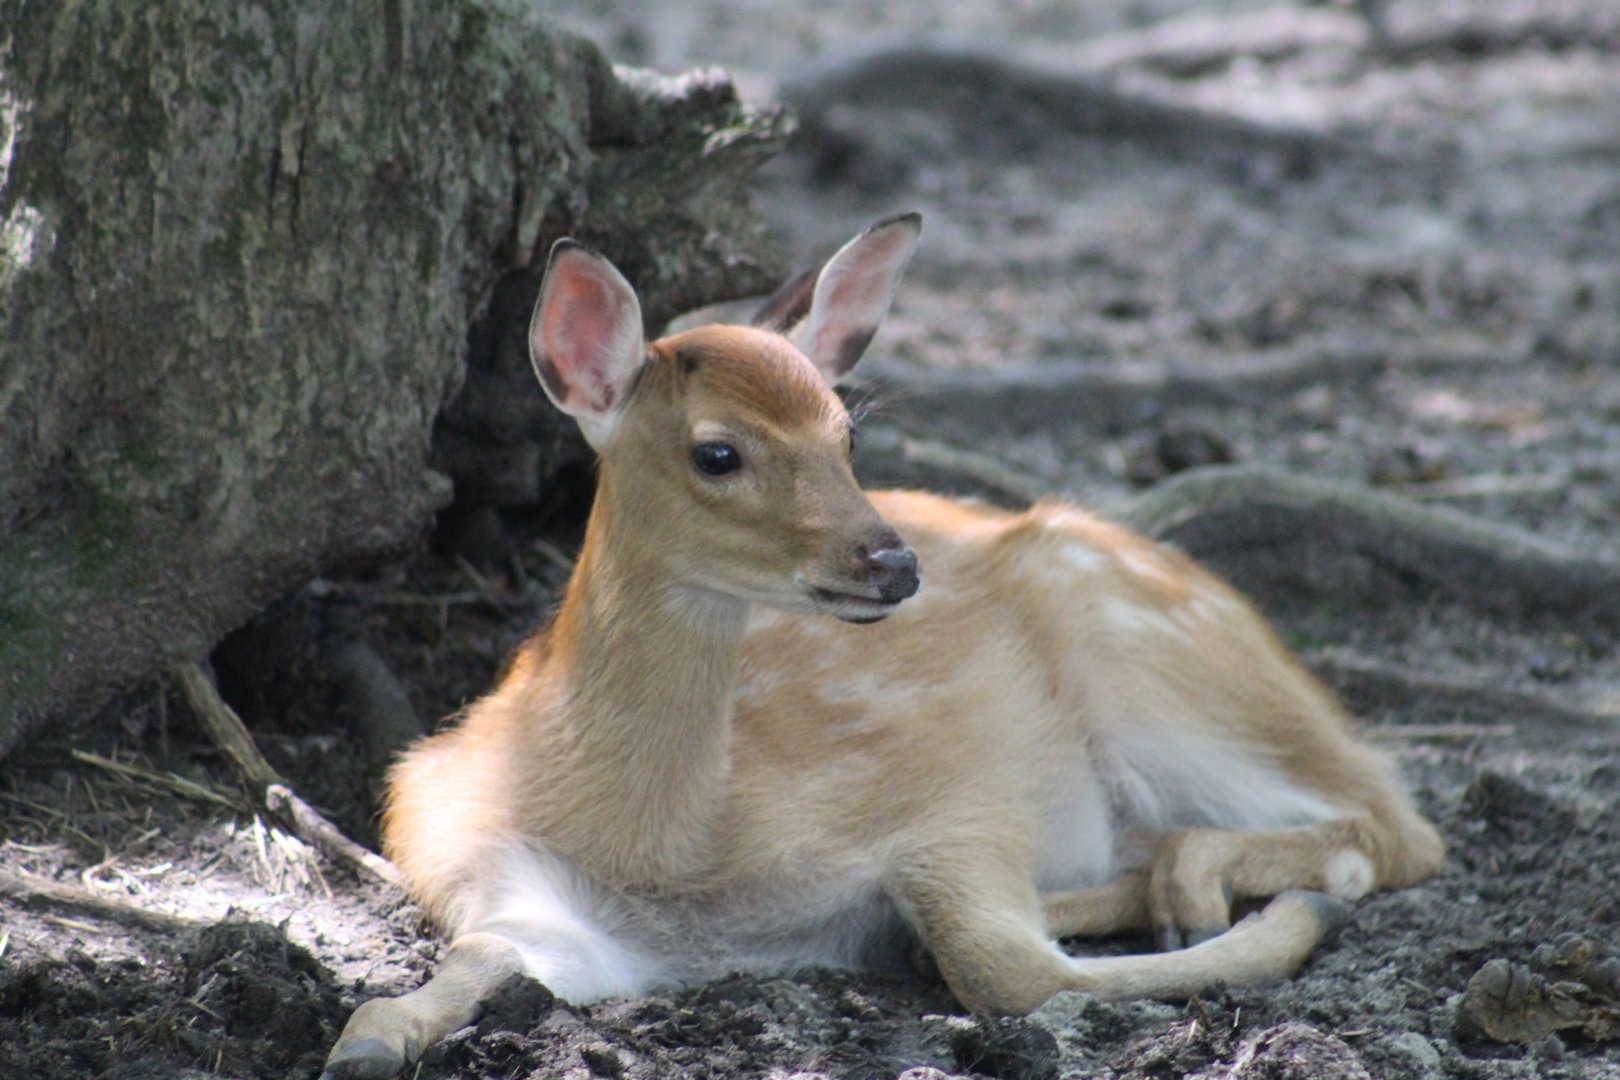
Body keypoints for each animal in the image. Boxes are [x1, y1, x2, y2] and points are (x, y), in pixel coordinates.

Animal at [320, 213, 1444, 1079]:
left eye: (846, 433)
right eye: (717, 453)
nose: (895, 563)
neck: (664, 853)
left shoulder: (949, 793)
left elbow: (1003, 965)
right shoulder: (499, 884)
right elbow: (428, 983)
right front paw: (366, 1044)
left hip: (1156, 668)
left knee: (1391, 822)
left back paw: (1223, 887)